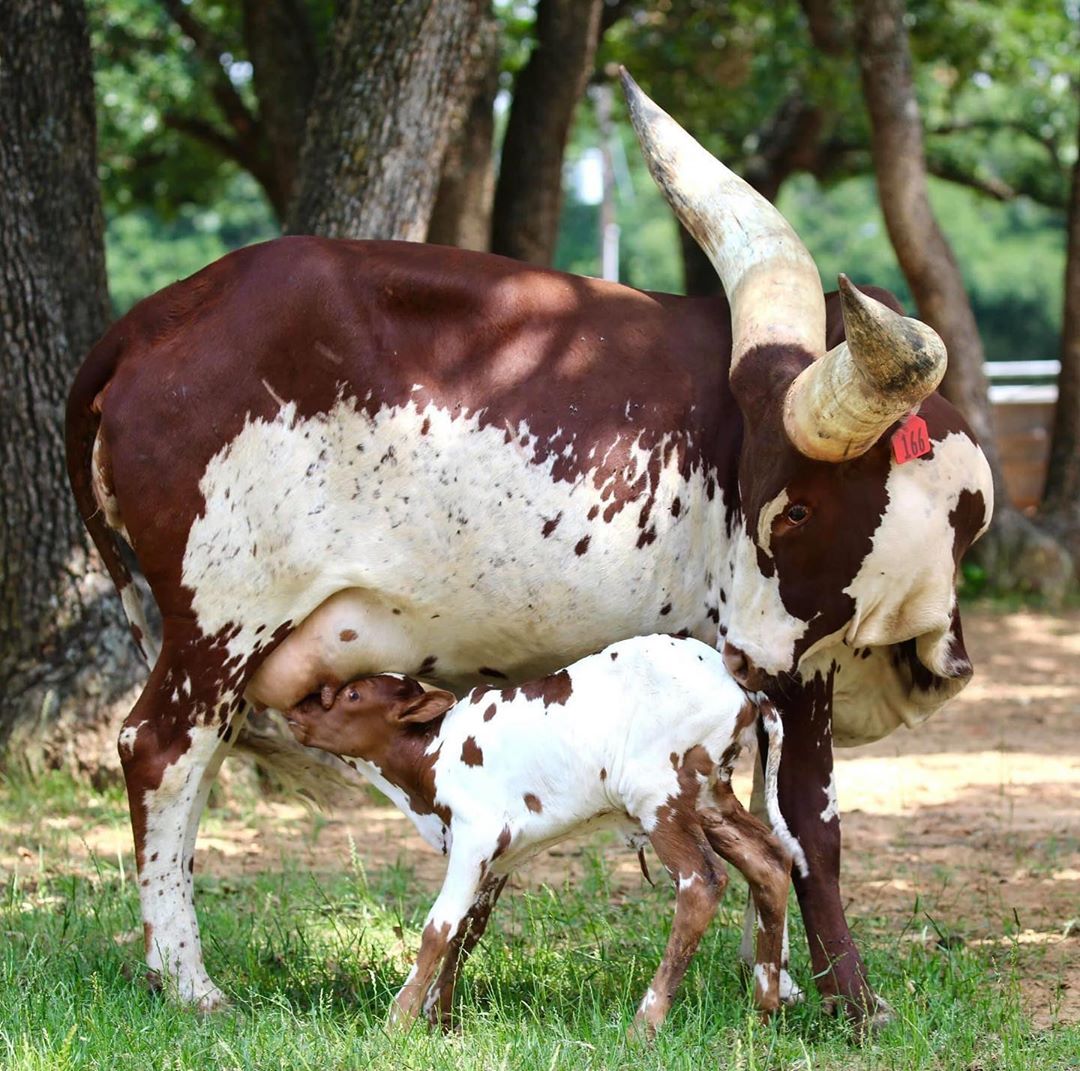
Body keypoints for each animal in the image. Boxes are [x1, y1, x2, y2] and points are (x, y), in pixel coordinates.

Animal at [285, 634, 803, 1036]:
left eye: (353, 696)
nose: (295, 711)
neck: (434, 752)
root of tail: (737, 682)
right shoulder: (498, 858)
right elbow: (467, 931)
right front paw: (441, 1021)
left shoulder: (475, 834)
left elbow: (439, 927)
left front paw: (398, 1022)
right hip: (710, 800)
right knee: (768, 860)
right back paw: (763, 1012)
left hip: (661, 797)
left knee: (702, 882)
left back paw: (645, 1025)